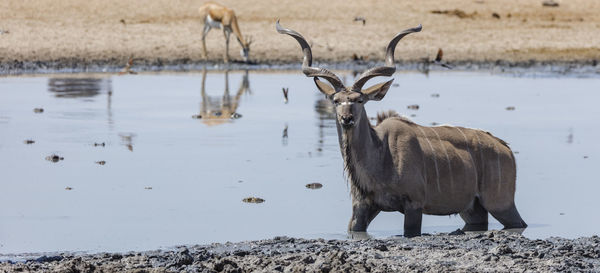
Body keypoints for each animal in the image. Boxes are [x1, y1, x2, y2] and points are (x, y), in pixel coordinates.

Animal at [276, 20, 524, 236]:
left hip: (500, 202)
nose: (347, 119)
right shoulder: (362, 208)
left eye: (359, 100)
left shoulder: (414, 205)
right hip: (472, 208)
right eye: (336, 100)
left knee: (518, 223)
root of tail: (505, 148)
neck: (381, 157)